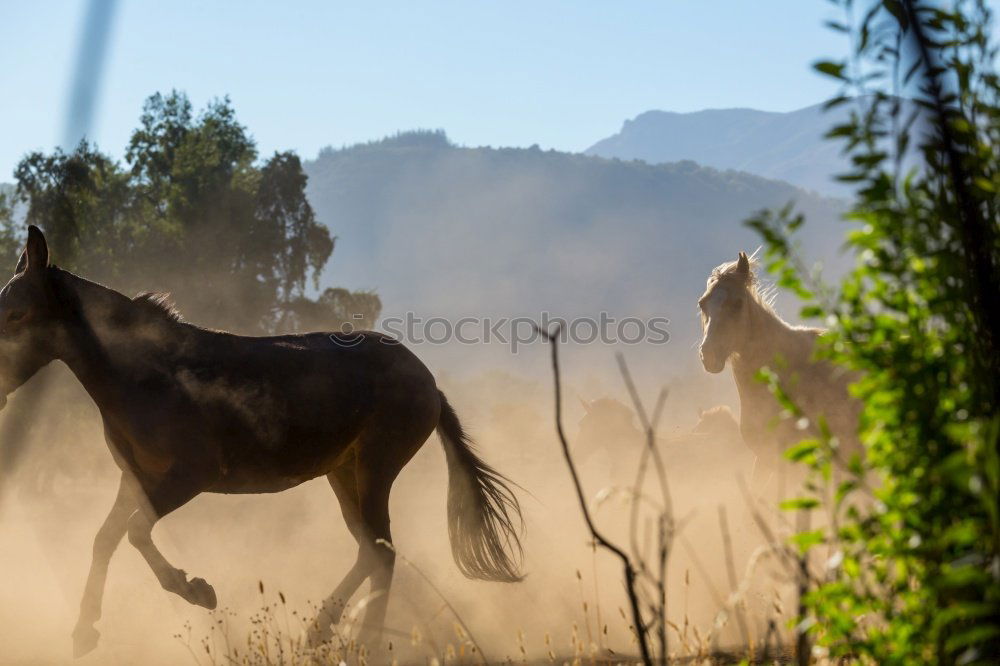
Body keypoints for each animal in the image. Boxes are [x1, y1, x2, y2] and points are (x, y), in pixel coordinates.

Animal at [0, 226, 528, 652]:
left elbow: (134, 532)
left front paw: (196, 589)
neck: (146, 377)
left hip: (377, 468)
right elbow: (105, 537)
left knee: (383, 551)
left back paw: (361, 641)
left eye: (16, 314)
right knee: (372, 549)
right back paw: (321, 631)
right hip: (344, 474)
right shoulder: (135, 477)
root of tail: (429, 383)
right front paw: (84, 630)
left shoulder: (190, 476)